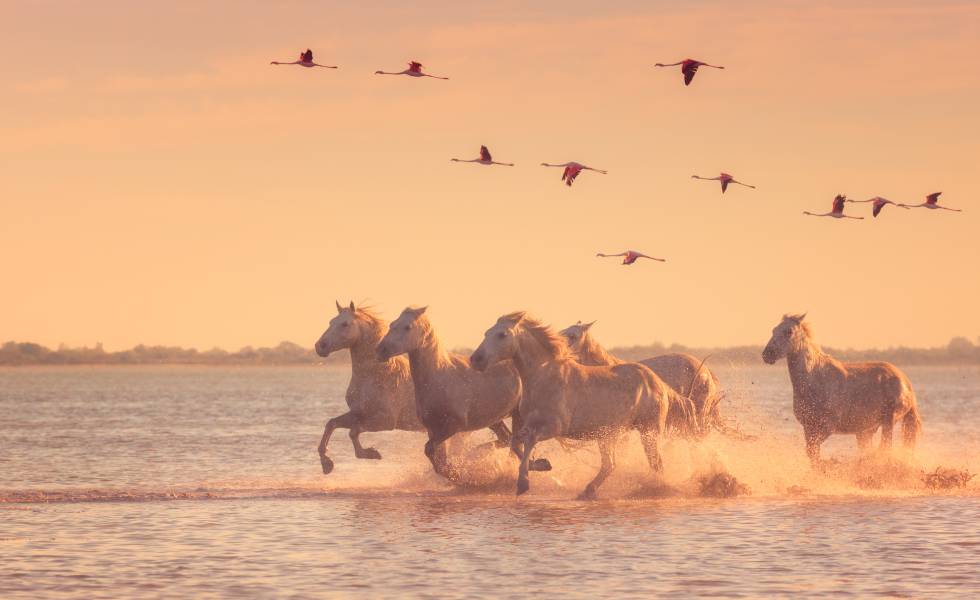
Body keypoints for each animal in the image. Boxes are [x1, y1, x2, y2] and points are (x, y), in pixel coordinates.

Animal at [313, 302, 423, 474]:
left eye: (345, 324)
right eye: (331, 321)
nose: (320, 346)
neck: (379, 375)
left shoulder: (385, 421)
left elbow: (353, 432)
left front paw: (371, 453)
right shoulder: (358, 413)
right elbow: (332, 424)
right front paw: (326, 464)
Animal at [376, 306, 531, 480]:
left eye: (407, 326)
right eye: (392, 324)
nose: (380, 350)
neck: (439, 377)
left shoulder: (453, 426)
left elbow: (431, 451)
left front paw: (458, 475)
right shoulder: (432, 429)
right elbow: (437, 457)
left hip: (517, 415)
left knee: (515, 443)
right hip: (495, 420)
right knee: (507, 439)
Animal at [471, 312, 686, 500]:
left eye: (502, 334)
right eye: (486, 333)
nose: (476, 359)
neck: (542, 376)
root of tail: (659, 383)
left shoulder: (554, 427)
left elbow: (529, 440)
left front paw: (523, 483)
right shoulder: (527, 423)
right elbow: (515, 442)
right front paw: (541, 464)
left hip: (648, 431)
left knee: (655, 463)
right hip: (608, 435)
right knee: (611, 464)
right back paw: (588, 491)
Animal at [762, 313, 921, 465]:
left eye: (789, 331)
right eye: (773, 330)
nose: (767, 354)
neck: (815, 378)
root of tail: (906, 383)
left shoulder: (827, 427)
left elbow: (812, 452)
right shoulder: (808, 427)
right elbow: (812, 455)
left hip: (888, 421)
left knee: (884, 448)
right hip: (866, 430)